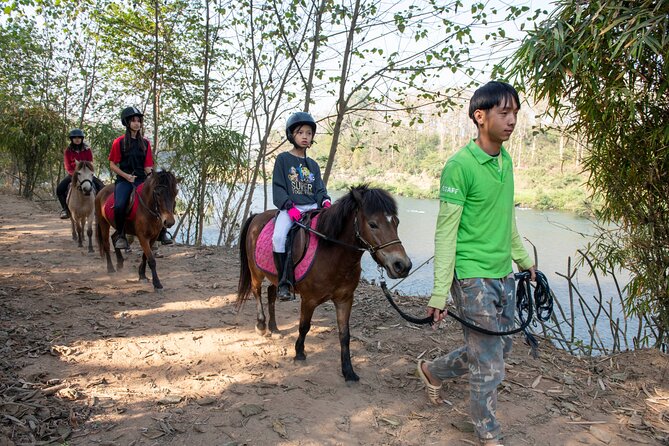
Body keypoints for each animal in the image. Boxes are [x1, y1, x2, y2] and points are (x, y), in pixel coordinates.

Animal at [237, 185, 410, 384]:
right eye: (373, 224)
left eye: (396, 222)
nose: (402, 265)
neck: (331, 252)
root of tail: (258, 216)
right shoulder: (309, 300)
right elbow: (304, 326)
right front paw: (299, 354)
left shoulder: (345, 299)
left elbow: (344, 334)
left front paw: (348, 371)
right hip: (256, 272)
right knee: (257, 291)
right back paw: (261, 325)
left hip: (275, 276)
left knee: (272, 293)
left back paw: (274, 328)